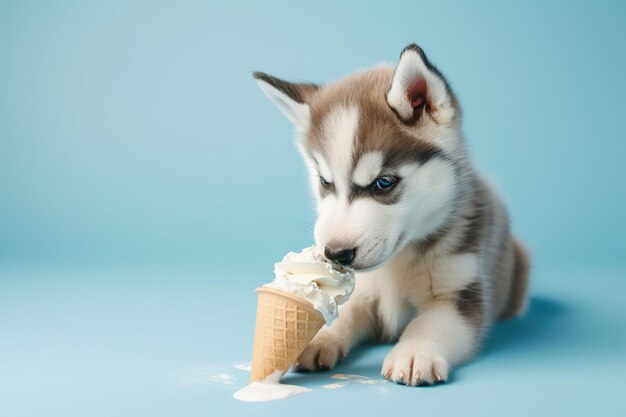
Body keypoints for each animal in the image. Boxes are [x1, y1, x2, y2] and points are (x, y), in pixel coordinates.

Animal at [252, 44, 528, 386]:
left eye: (383, 183)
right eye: (325, 182)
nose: (335, 254)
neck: (398, 263)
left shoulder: (462, 293)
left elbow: (430, 323)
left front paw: (415, 350)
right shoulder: (363, 291)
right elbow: (343, 312)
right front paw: (317, 337)